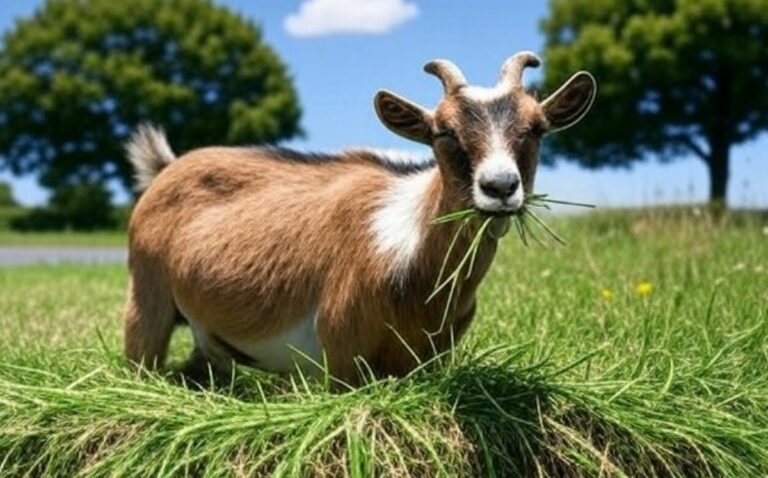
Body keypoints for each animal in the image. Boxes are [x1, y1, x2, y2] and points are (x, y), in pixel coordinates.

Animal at [123, 51, 596, 385]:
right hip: (147, 294)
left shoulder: (429, 360)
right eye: (443, 131)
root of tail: (167, 167)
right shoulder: (341, 353)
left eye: (537, 128)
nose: (499, 187)